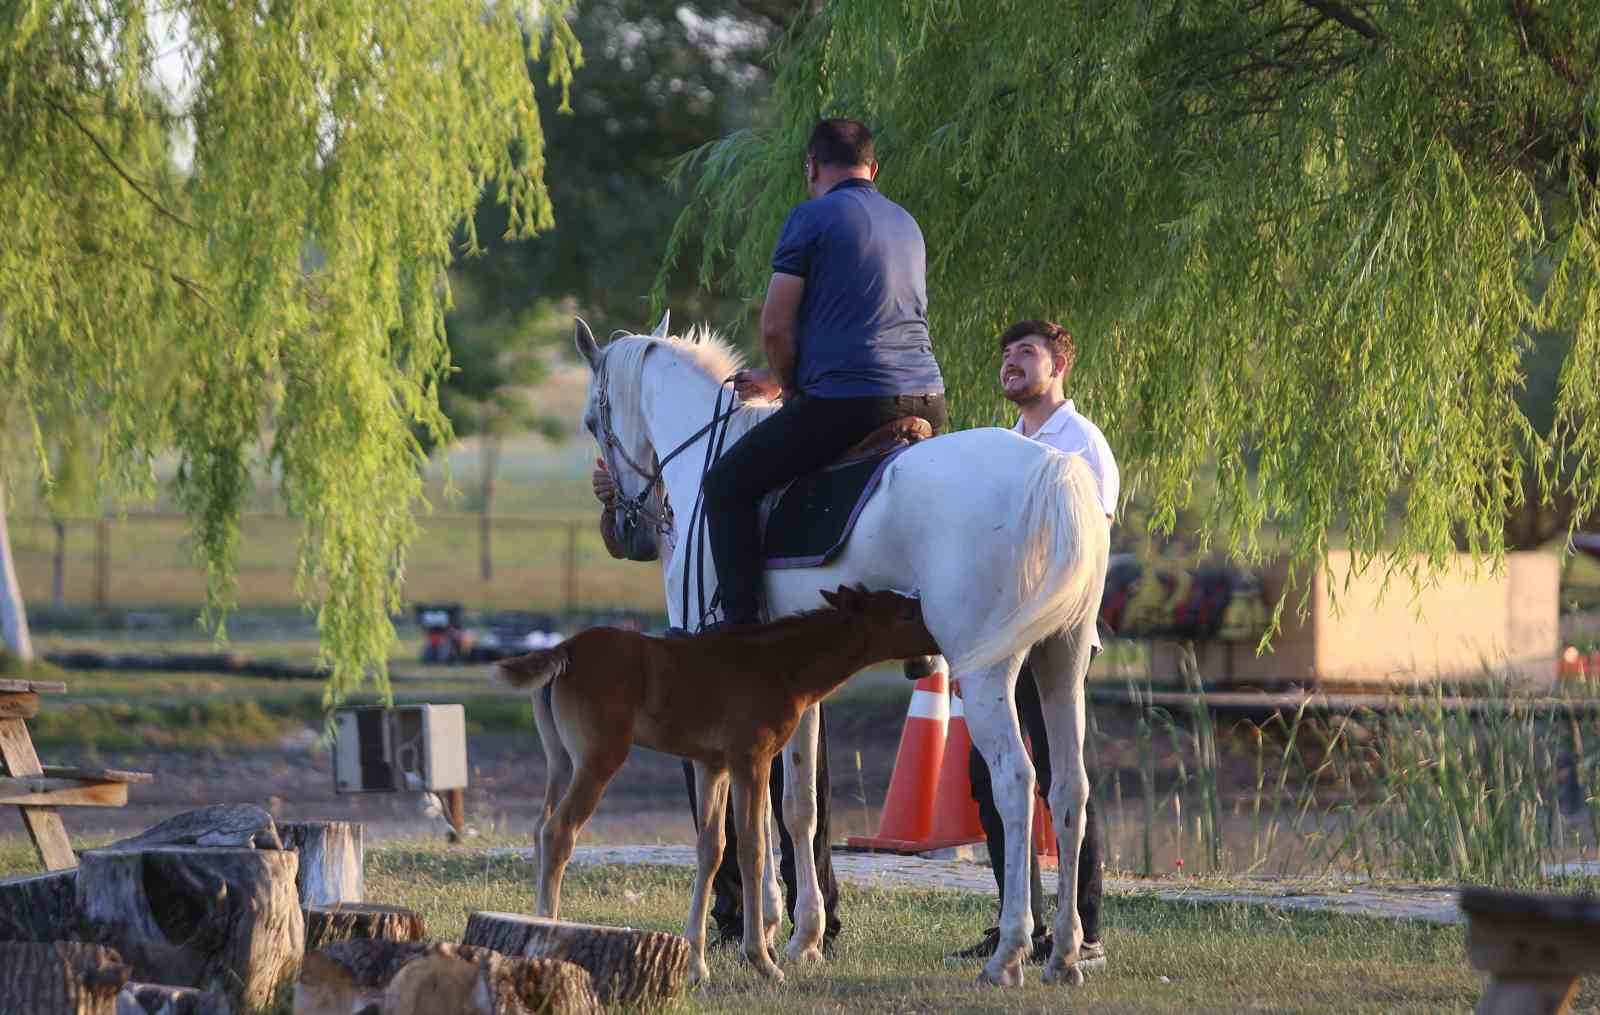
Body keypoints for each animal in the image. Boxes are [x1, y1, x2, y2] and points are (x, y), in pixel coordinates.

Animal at [496, 585, 934, 979]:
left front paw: (697, 965)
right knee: (559, 831)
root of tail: (564, 650)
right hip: (598, 757)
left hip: (561, 759)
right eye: (905, 614)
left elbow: (712, 848)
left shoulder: (711, 765)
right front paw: (762, 960)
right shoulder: (750, 758)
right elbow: (752, 849)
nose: (934, 648)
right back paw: (546, 934)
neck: (782, 667)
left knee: (539, 827)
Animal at [560, 312, 1100, 986]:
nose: (627, 525)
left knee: (1016, 785)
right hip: (1060, 664)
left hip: (987, 674)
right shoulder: (790, 686)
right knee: (1069, 788)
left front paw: (763, 927)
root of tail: (1053, 468)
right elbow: (797, 806)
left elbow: (754, 812)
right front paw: (800, 935)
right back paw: (1065, 952)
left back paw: (1009, 952)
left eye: (589, 420)